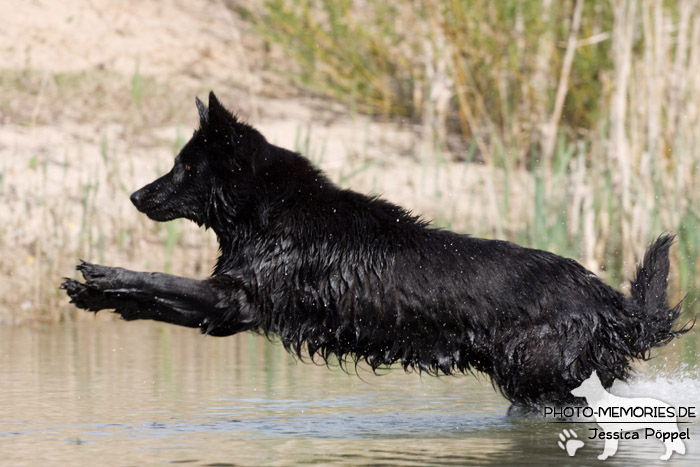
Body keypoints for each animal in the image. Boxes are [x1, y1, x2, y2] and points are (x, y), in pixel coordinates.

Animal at [61, 92, 688, 410]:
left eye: (185, 167)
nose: (135, 195)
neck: (271, 210)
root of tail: (612, 304)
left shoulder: (233, 301)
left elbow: (159, 280)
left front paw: (100, 274)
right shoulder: (230, 314)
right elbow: (157, 301)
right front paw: (96, 298)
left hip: (538, 384)